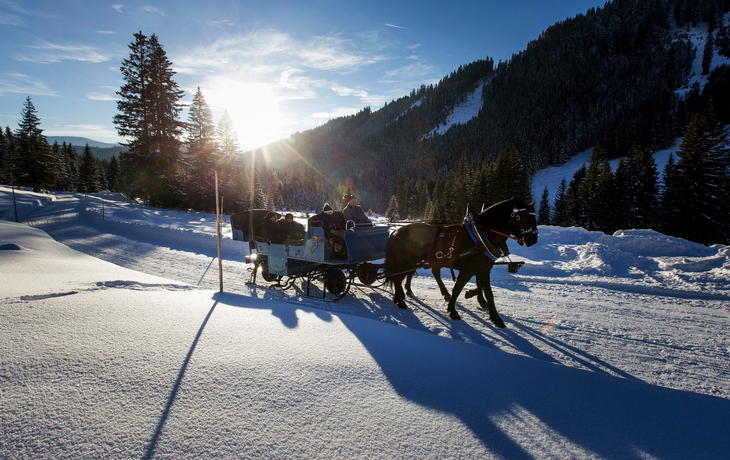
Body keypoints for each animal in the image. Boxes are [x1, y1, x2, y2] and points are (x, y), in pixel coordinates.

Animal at [384, 197, 536, 328]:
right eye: (524, 217)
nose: (533, 239)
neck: (480, 236)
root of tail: (395, 232)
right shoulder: (467, 270)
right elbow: (457, 289)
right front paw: (453, 310)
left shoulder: (484, 270)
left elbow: (488, 292)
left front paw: (495, 317)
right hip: (405, 261)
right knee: (398, 278)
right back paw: (401, 300)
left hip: (413, 261)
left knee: (407, 276)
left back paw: (403, 295)